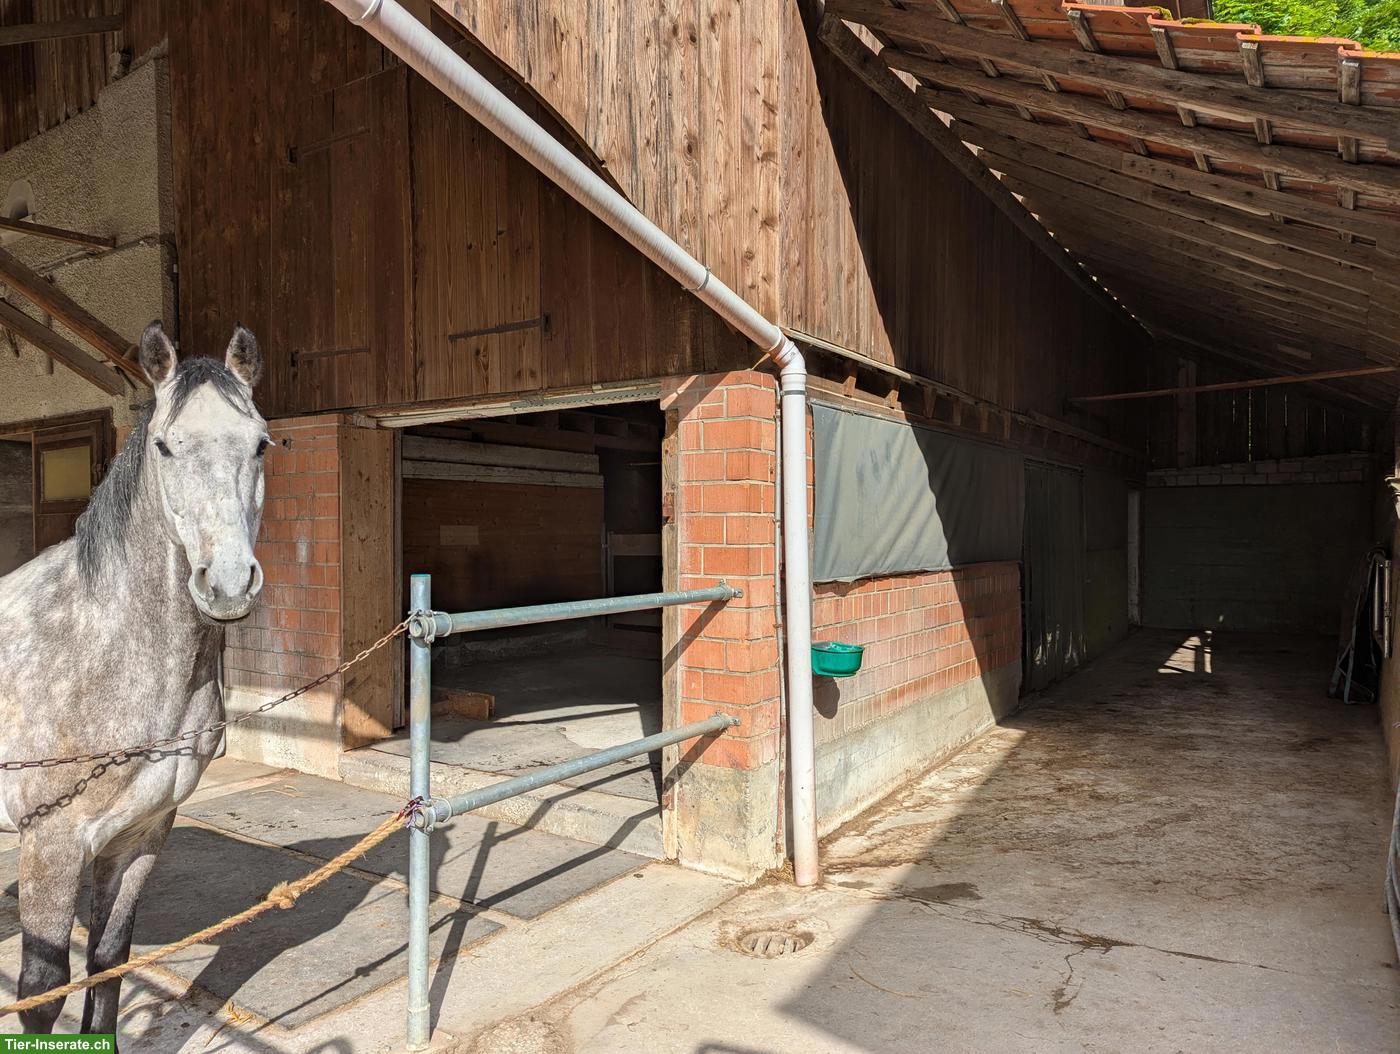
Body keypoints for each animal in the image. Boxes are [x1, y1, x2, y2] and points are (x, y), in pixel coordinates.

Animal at [0, 320, 269, 1037]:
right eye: (165, 446)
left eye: (262, 443)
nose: (227, 584)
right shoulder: (52, 844)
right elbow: (42, 991)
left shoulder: (142, 833)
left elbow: (109, 960)